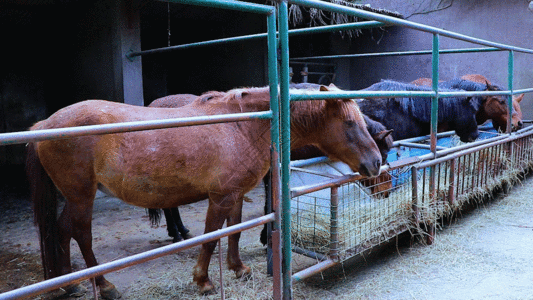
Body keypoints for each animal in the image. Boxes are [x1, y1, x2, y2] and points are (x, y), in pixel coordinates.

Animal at [26, 85, 382, 296]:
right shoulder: (220, 197)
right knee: (79, 233)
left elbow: (234, 232)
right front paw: (203, 280)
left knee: (61, 231)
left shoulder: (235, 194)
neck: (243, 124)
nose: (376, 163)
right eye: (350, 124)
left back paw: (69, 284)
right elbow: (211, 238)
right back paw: (102, 283)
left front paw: (238, 269)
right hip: (81, 197)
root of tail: (45, 125)